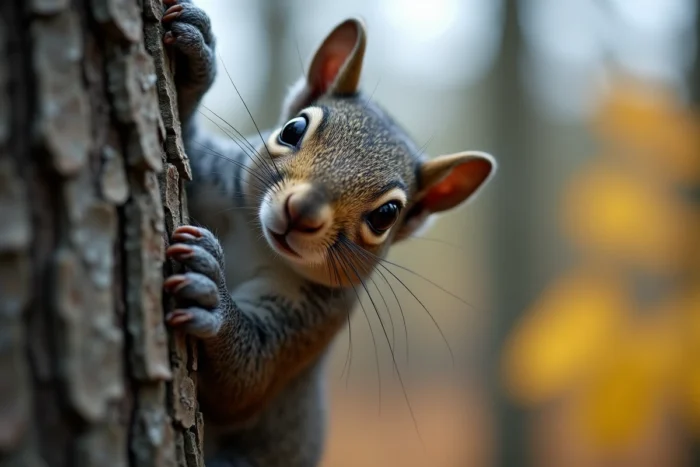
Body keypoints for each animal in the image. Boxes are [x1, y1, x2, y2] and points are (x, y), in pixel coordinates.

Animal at [160, 1, 496, 465]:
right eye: (293, 129)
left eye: (386, 214)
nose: (300, 211)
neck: (259, 244)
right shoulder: (214, 178)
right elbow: (186, 140)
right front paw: (197, 57)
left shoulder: (313, 320)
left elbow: (245, 381)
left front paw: (212, 295)